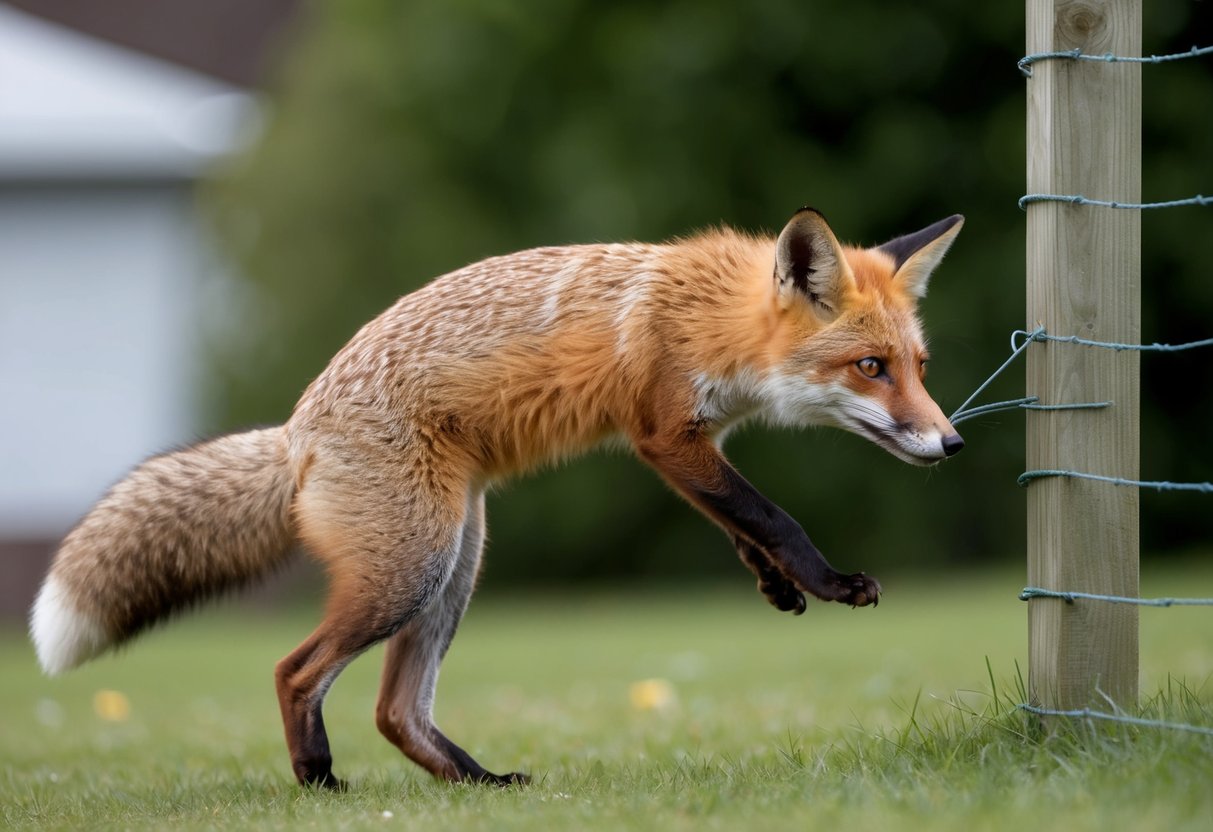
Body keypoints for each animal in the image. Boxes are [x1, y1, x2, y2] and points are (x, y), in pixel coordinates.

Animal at [31, 207, 964, 789]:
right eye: (870, 368)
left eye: (919, 366)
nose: (950, 442)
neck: (710, 316)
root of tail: (298, 427)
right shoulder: (662, 431)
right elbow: (772, 513)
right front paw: (827, 579)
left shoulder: (692, 443)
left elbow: (737, 520)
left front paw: (776, 583)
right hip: (413, 566)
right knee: (296, 671)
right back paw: (318, 779)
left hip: (455, 562)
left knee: (395, 711)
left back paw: (479, 783)